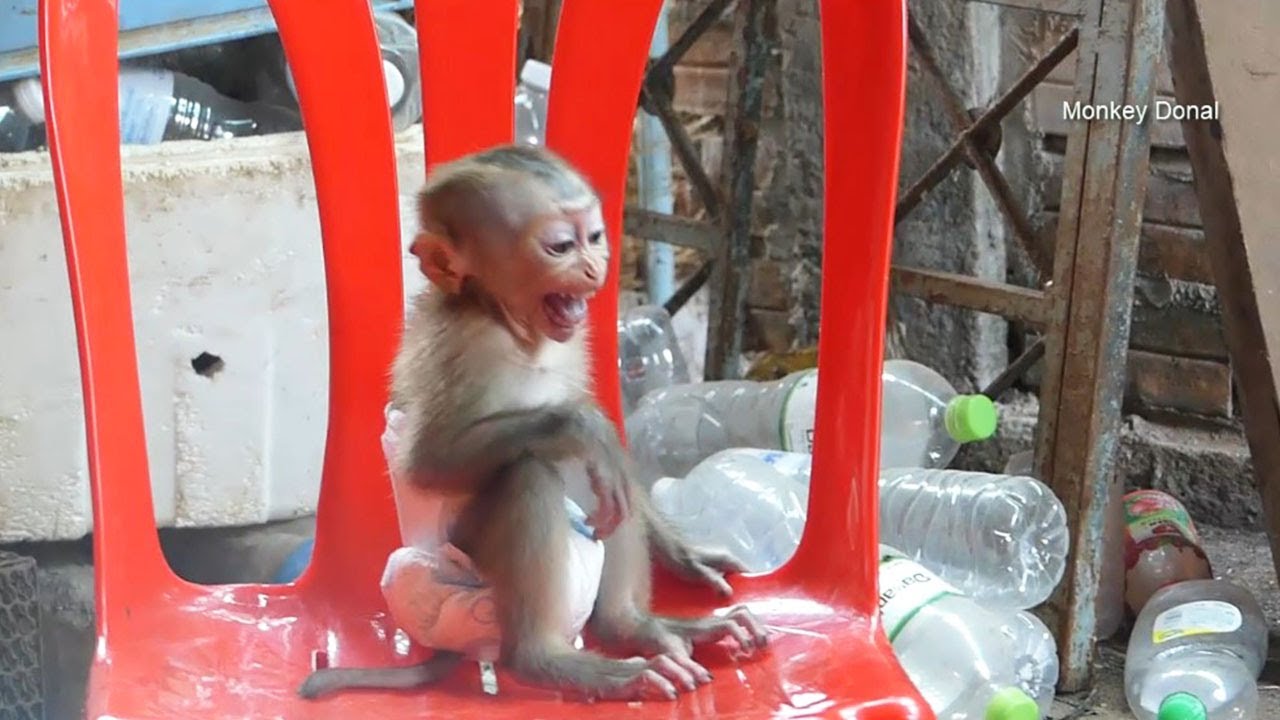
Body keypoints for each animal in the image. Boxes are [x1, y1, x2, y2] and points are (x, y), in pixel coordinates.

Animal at [298, 145, 768, 703]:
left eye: (594, 237)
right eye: (560, 246)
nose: (593, 267)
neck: (516, 330)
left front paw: (687, 558)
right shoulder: (465, 347)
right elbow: (428, 463)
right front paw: (585, 426)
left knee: (597, 484)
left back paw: (629, 624)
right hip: (465, 576)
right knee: (531, 471)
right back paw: (550, 660)